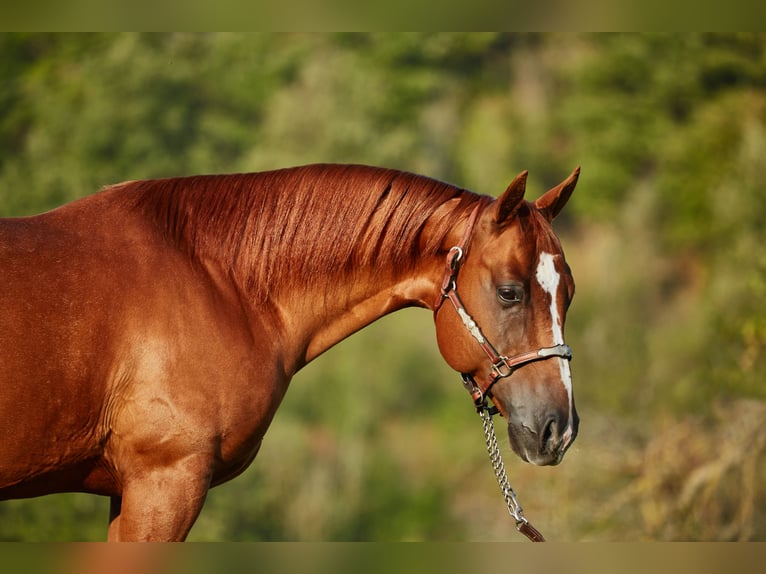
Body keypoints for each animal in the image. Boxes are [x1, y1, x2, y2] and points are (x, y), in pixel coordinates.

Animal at [0, 163, 580, 541]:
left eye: (569, 293)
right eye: (510, 292)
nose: (559, 429)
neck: (217, 280)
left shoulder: (128, 491)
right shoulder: (162, 482)